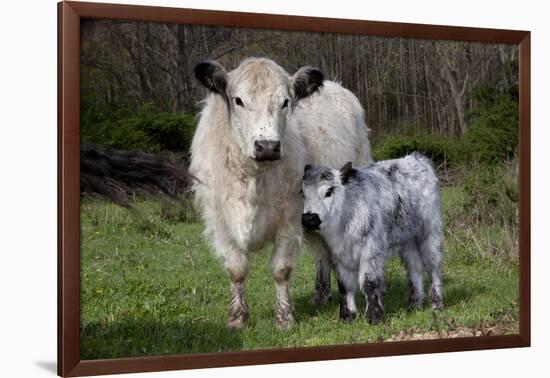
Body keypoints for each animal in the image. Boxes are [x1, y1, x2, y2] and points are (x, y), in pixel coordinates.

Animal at [191, 57, 376, 330]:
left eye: (285, 102)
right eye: (238, 100)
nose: (267, 146)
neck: (254, 181)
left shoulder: (289, 219)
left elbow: (280, 269)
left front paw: (284, 318)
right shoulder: (220, 222)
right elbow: (236, 269)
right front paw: (237, 318)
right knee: (322, 252)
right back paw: (320, 295)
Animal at [300, 152, 446, 324]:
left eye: (329, 192)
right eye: (303, 194)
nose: (309, 218)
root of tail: (416, 158)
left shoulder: (371, 251)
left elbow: (370, 283)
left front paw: (374, 317)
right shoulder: (338, 255)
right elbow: (345, 286)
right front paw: (347, 317)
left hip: (430, 231)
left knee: (433, 266)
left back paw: (437, 304)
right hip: (407, 239)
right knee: (414, 268)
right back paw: (414, 304)